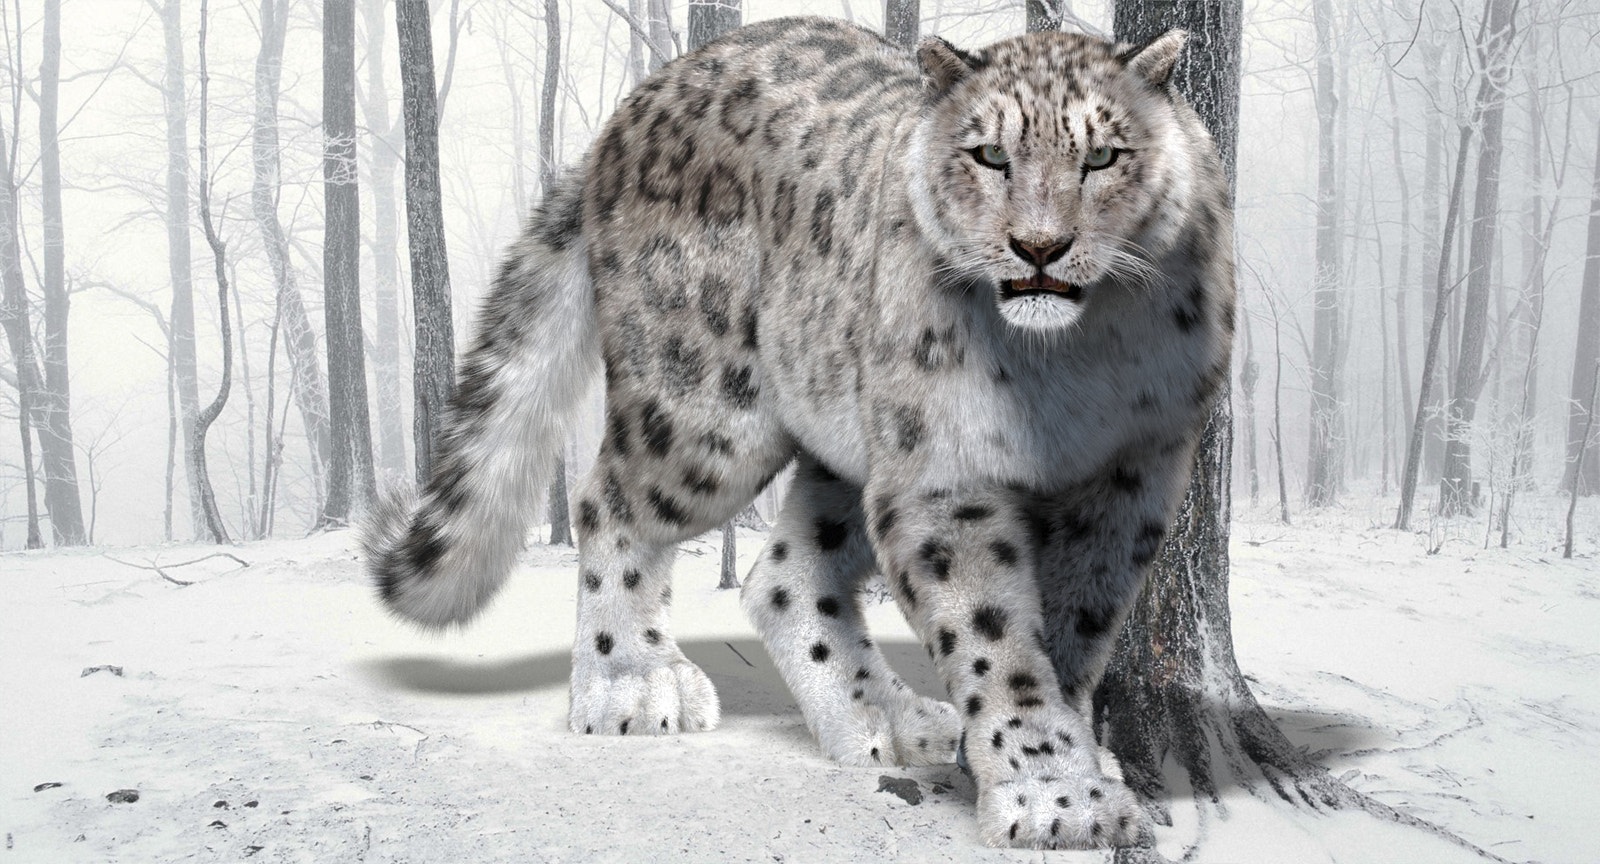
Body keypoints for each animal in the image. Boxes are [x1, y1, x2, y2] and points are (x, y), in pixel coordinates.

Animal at [363, 16, 1233, 850]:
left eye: (1103, 157)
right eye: (989, 155)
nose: (1040, 248)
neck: (1071, 362)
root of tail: (634, 106)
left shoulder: (1130, 474)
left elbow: (1075, 626)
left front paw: (1060, 760)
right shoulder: (945, 469)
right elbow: (993, 635)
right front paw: (1054, 795)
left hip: (851, 432)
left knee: (782, 575)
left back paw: (889, 721)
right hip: (709, 414)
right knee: (608, 499)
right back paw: (634, 684)